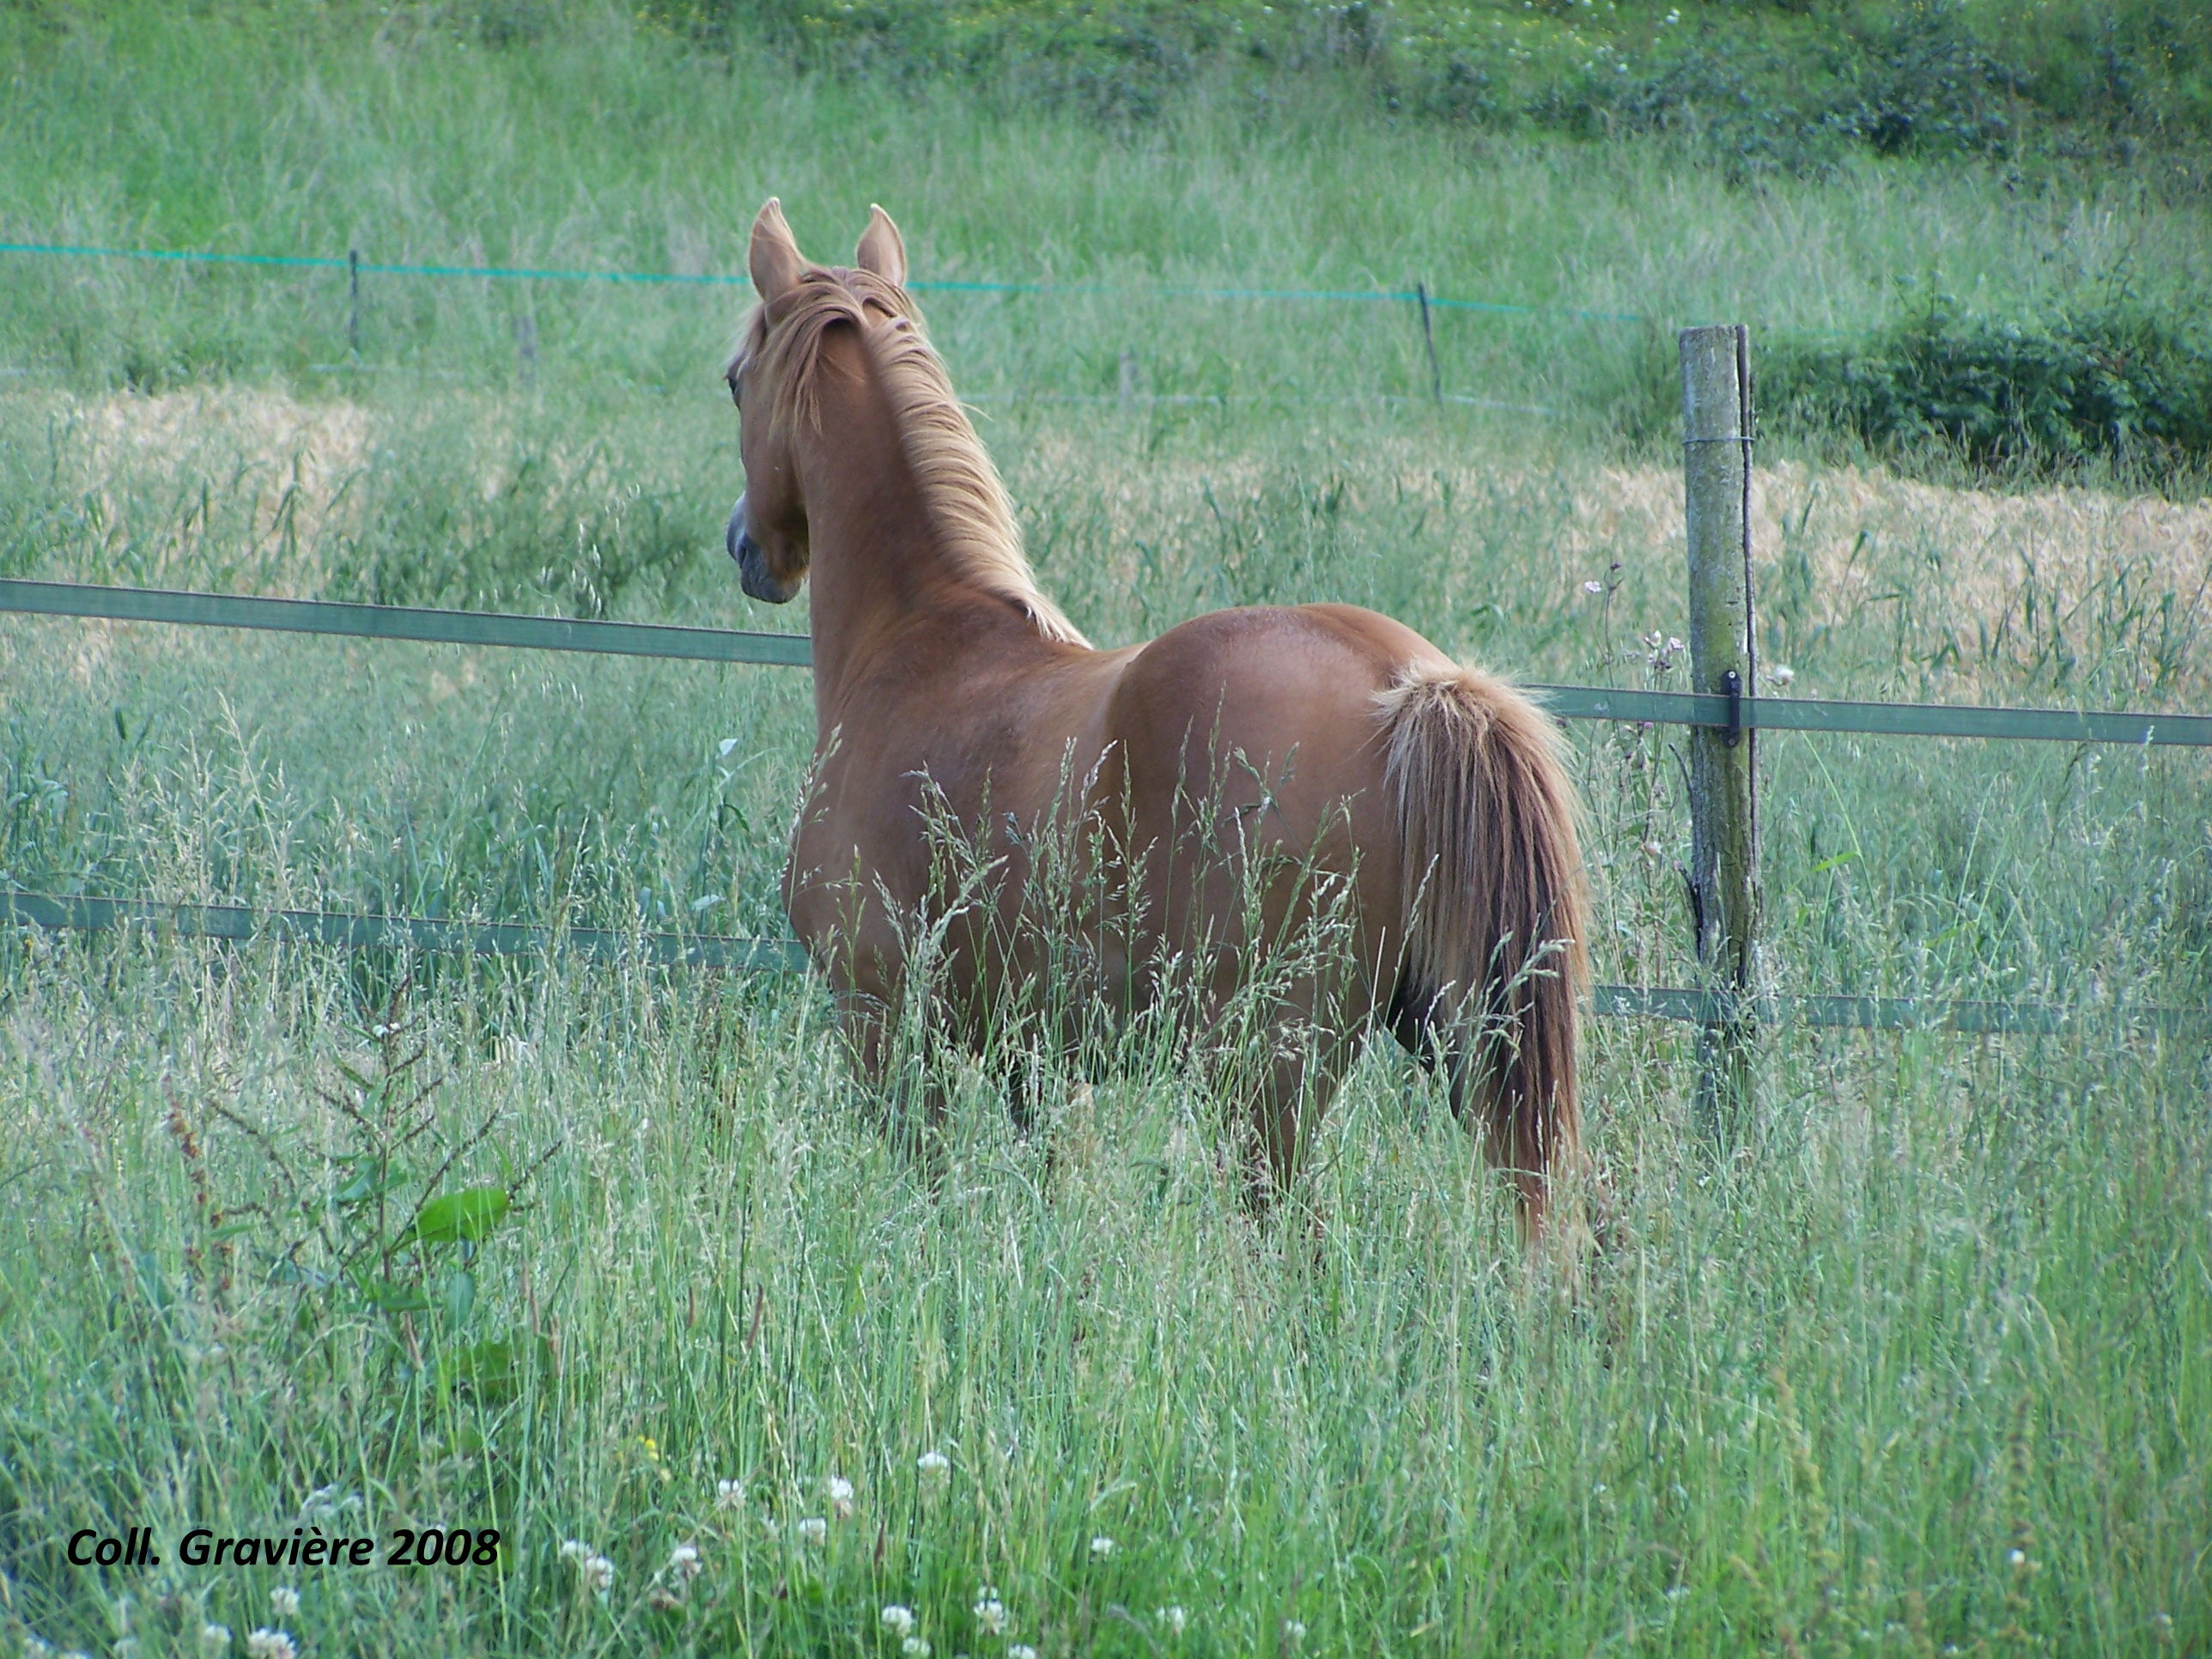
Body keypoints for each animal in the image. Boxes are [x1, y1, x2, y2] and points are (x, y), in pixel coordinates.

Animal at [725, 201, 1592, 1238]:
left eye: (734, 380)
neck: (923, 638)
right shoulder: (1035, 1058)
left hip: (1266, 1070)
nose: (745, 547)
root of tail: (1408, 680)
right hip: (1465, 1044)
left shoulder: (887, 1030)